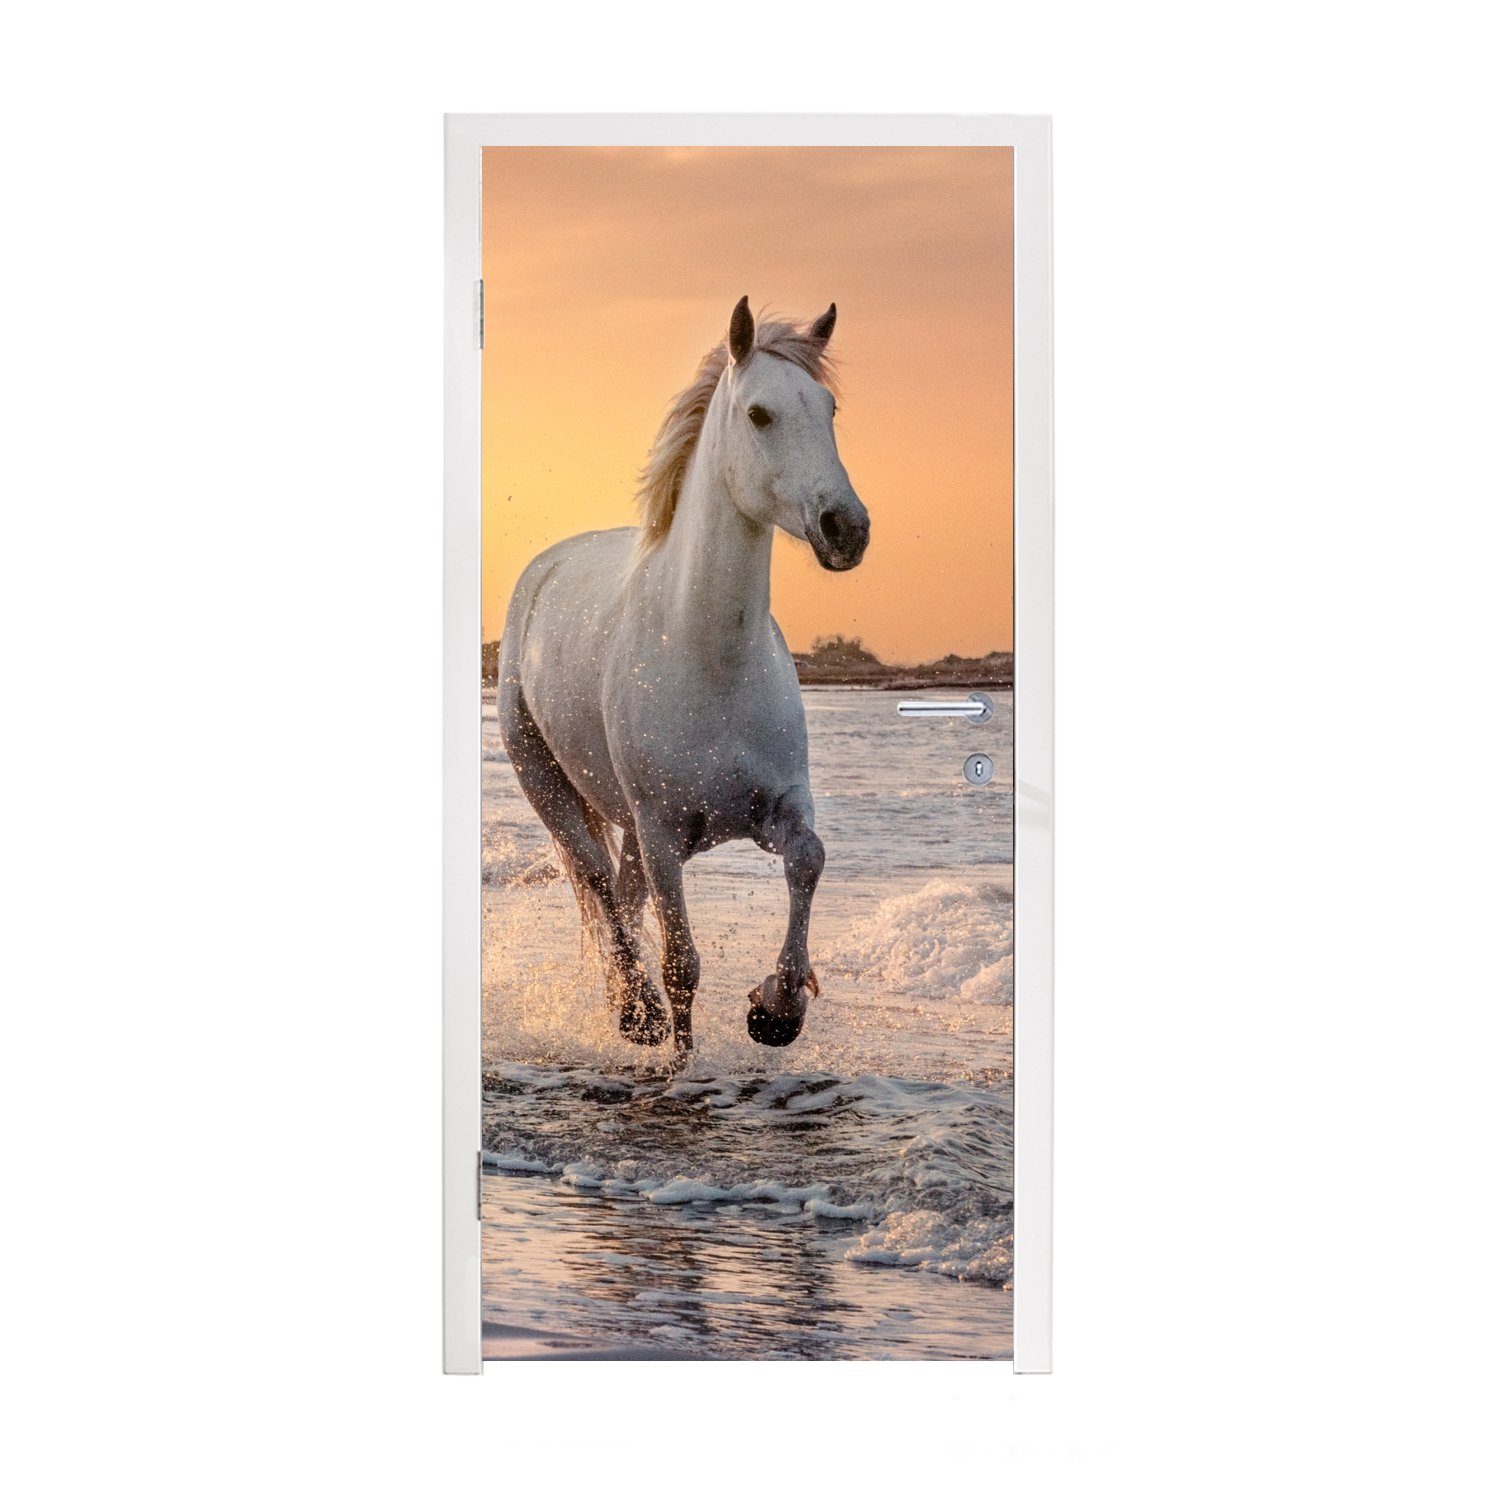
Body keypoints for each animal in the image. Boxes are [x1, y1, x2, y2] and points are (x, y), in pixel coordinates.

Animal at [497, 296, 870, 1054]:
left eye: (828, 407)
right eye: (759, 414)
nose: (846, 527)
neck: (709, 660)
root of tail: (543, 571)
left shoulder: (778, 807)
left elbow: (810, 859)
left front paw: (777, 1007)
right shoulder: (664, 833)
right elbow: (682, 966)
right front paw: (682, 1055)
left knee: (621, 895)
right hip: (550, 786)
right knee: (598, 886)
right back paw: (634, 1011)